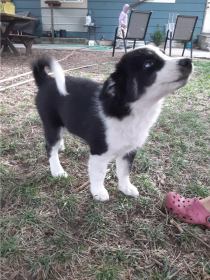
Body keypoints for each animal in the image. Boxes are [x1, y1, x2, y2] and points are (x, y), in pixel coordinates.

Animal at [33, 46, 193, 201]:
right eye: (149, 64)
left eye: (165, 54)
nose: (188, 61)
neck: (132, 110)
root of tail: (46, 80)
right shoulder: (99, 151)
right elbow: (99, 173)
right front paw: (98, 193)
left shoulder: (129, 150)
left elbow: (124, 171)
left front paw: (125, 188)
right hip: (51, 124)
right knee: (50, 147)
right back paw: (57, 170)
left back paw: (61, 146)